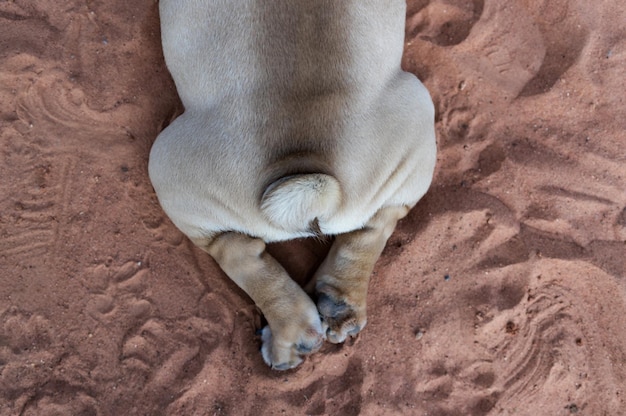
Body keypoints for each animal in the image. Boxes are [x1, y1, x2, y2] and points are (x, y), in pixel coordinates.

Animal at [149, 0, 436, 370]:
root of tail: (308, 183)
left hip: (170, 170)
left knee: (233, 250)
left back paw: (293, 334)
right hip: (414, 122)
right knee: (375, 226)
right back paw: (337, 306)